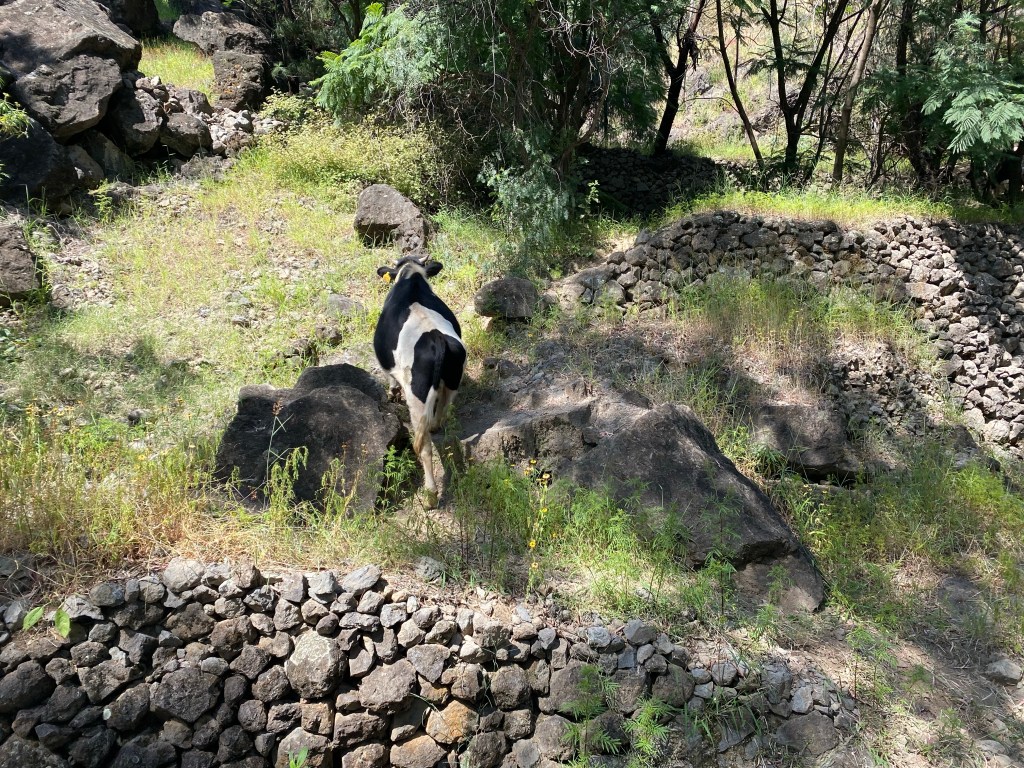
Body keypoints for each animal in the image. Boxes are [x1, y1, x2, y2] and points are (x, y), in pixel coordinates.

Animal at [373, 255, 466, 507]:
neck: (411, 278)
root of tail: (436, 339)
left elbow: (389, 378)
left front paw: (392, 393)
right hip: (453, 381)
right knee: (443, 409)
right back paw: (436, 425)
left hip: (415, 397)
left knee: (424, 447)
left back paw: (430, 496)